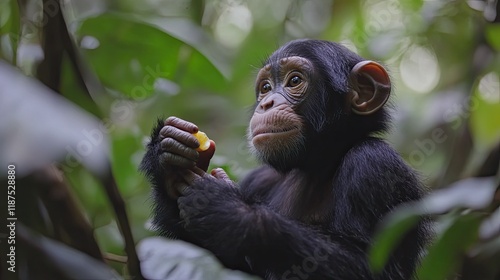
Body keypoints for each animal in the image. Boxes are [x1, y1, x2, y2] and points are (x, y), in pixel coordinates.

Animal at [141, 40, 430, 280]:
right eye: (266, 87)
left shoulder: (374, 165)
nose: (266, 103)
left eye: (294, 80)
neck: (314, 163)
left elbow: (369, 265)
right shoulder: (259, 178)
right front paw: (167, 160)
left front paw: (228, 209)